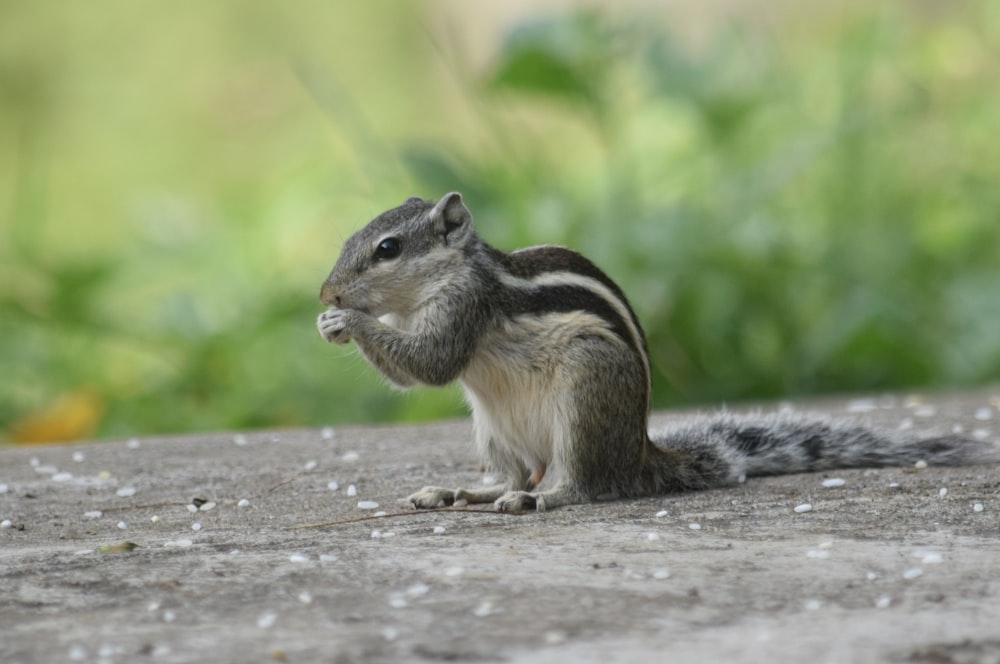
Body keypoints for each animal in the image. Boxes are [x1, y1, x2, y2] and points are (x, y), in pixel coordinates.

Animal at [318, 192, 984, 512]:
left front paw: (347, 318)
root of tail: (640, 453)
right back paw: (462, 492)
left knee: (586, 485)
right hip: (492, 428)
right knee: (512, 472)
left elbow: (431, 365)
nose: (326, 291)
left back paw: (541, 498)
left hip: (586, 392)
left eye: (387, 248)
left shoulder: (465, 307)